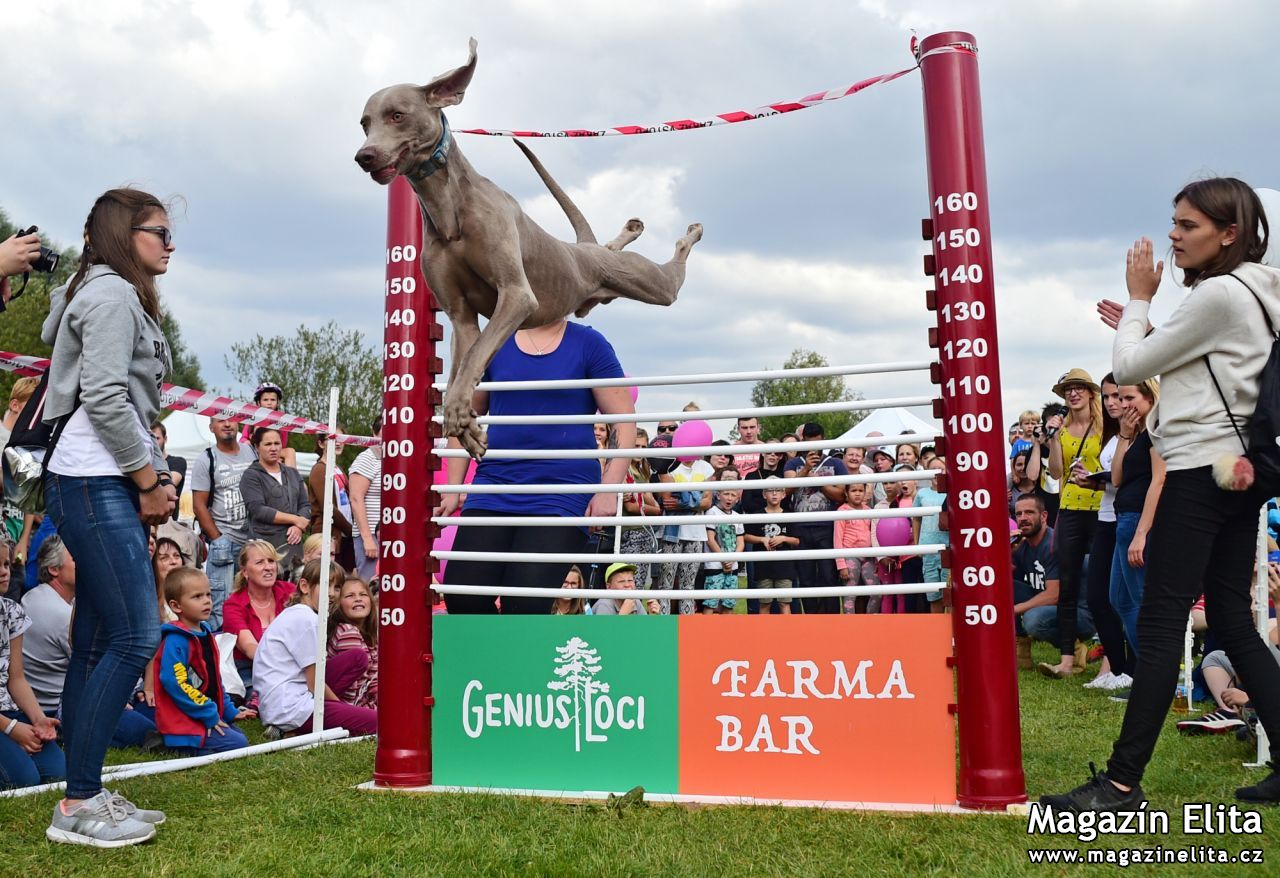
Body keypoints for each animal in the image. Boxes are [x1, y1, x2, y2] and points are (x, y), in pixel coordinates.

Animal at [355, 36, 706, 458]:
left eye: (397, 115)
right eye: (364, 123)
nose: (363, 156)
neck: (449, 209)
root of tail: (585, 249)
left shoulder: (517, 296)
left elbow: (472, 361)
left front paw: (458, 416)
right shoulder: (460, 316)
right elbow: (467, 363)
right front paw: (467, 427)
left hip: (654, 286)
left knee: (672, 273)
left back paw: (686, 232)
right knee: (615, 248)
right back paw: (624, 233)